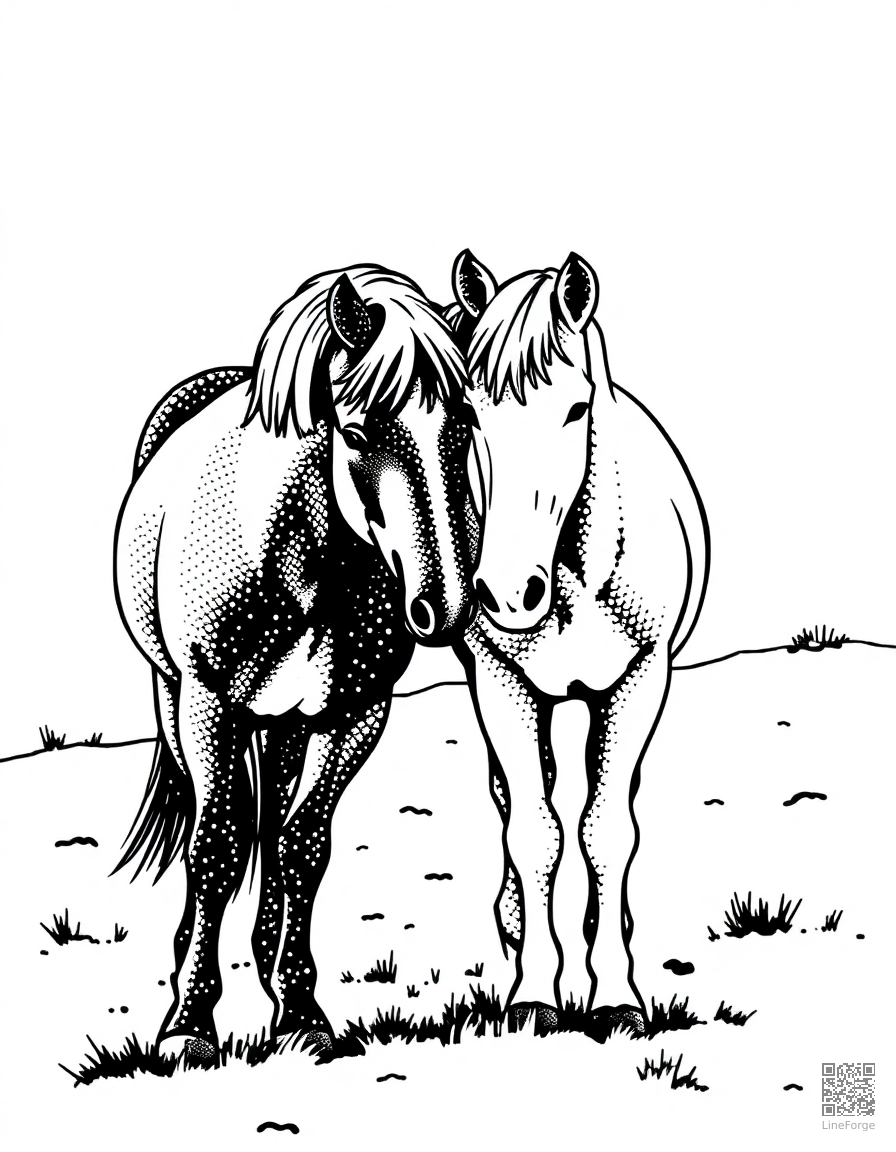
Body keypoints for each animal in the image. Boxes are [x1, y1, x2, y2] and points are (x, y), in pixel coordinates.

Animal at [113, 265, 479, 1059]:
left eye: (464, 426)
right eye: (356, 431)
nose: (443, 605)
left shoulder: (355, 712)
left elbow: (302, 845)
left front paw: (302, 1010)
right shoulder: (209, 702)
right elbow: (217, 846)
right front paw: (191, 1025)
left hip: (285, 720)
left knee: (274, 822)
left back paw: (265, 964)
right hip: (177, 700)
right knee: (214, 821)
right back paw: (188, 963)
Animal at [447, 249, 709, 1033]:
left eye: (575, 409)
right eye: (470, 412)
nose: (508, 595)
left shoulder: (639, 683)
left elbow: (608, 830)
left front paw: (617, 996)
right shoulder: (499, 682)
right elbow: (533, 832)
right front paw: (534, 993)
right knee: (516, 801)